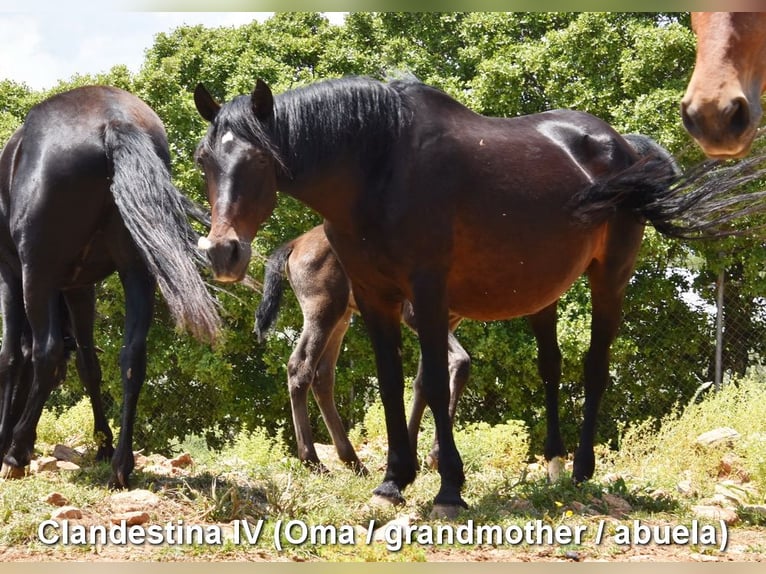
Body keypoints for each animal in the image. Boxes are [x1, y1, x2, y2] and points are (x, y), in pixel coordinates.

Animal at [0, 85, 220, 488]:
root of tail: (114, 120)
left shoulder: (13, 273)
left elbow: (13, 357)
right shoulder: (78, 288)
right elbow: (88, 365)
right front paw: (103, 443)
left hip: (37, 271)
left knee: (46, 351)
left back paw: (16, 454)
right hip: (137, 268)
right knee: (132, 357)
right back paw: (120, 462)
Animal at [254, 223, 470, 475]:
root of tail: (295, 243)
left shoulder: (449, 320)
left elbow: (423, 380)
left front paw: (417, 457)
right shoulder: (415, 315)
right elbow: (460, 362)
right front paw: (435, 456)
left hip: (342, 316)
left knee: (323, 375)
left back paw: (353, 462)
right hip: (323, 309)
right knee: (300, 366)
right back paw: (314, 462)